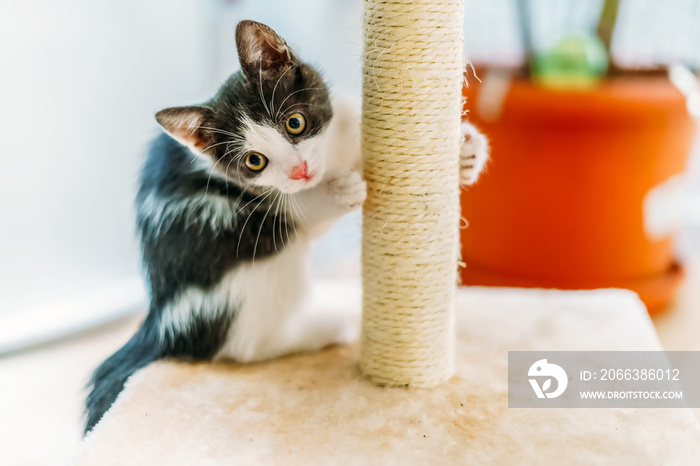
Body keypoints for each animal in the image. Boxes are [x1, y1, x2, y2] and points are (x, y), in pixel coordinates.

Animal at [83, 18, 486, 434]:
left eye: (295, 123)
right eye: (255, 161)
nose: (299, 171)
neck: (333, 156)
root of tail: (162, 322)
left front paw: (464, 153)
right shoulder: (267, 205)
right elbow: (298, 212)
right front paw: (336, 192)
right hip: (248, 266)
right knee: (246, 344)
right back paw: (326, 328)